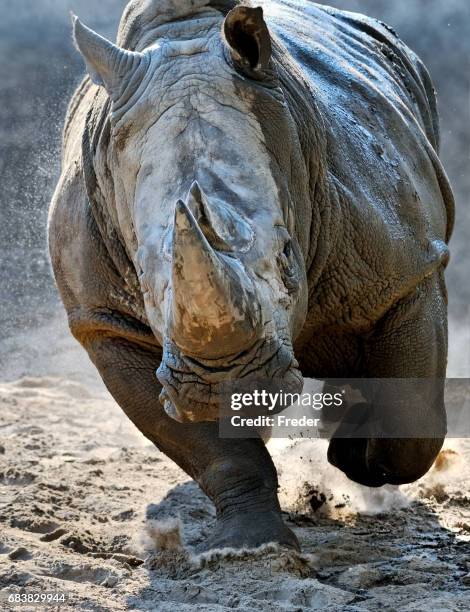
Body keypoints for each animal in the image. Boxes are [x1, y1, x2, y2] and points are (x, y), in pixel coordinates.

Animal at [49, 0, 454, 548]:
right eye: (146, 286)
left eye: (287, 257)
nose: (226, 383)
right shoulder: (107, 321)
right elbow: (217, 454)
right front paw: (248, 547)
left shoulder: (407, 270)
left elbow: (410, 417)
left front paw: (351, 456)